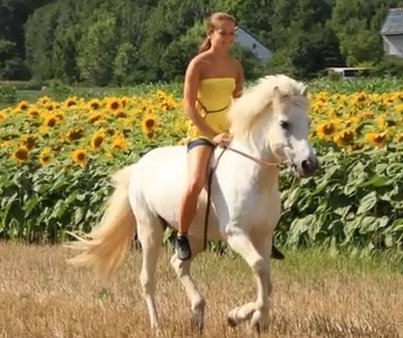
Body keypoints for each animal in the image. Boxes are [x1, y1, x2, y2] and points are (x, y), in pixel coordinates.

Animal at [66, 74, 318, 332]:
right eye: (284, 123)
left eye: (308, 122)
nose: (309, 165)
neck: (253, 175)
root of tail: (139, 165)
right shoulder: (236, 233)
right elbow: (259, 267)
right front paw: (241, 316)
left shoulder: (263, 236)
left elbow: (267, 280)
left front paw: (253, 319)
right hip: (149, 229)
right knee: (147, 278)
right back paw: (157, 325)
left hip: (196, 236)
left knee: (178, 263)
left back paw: (198, 312)